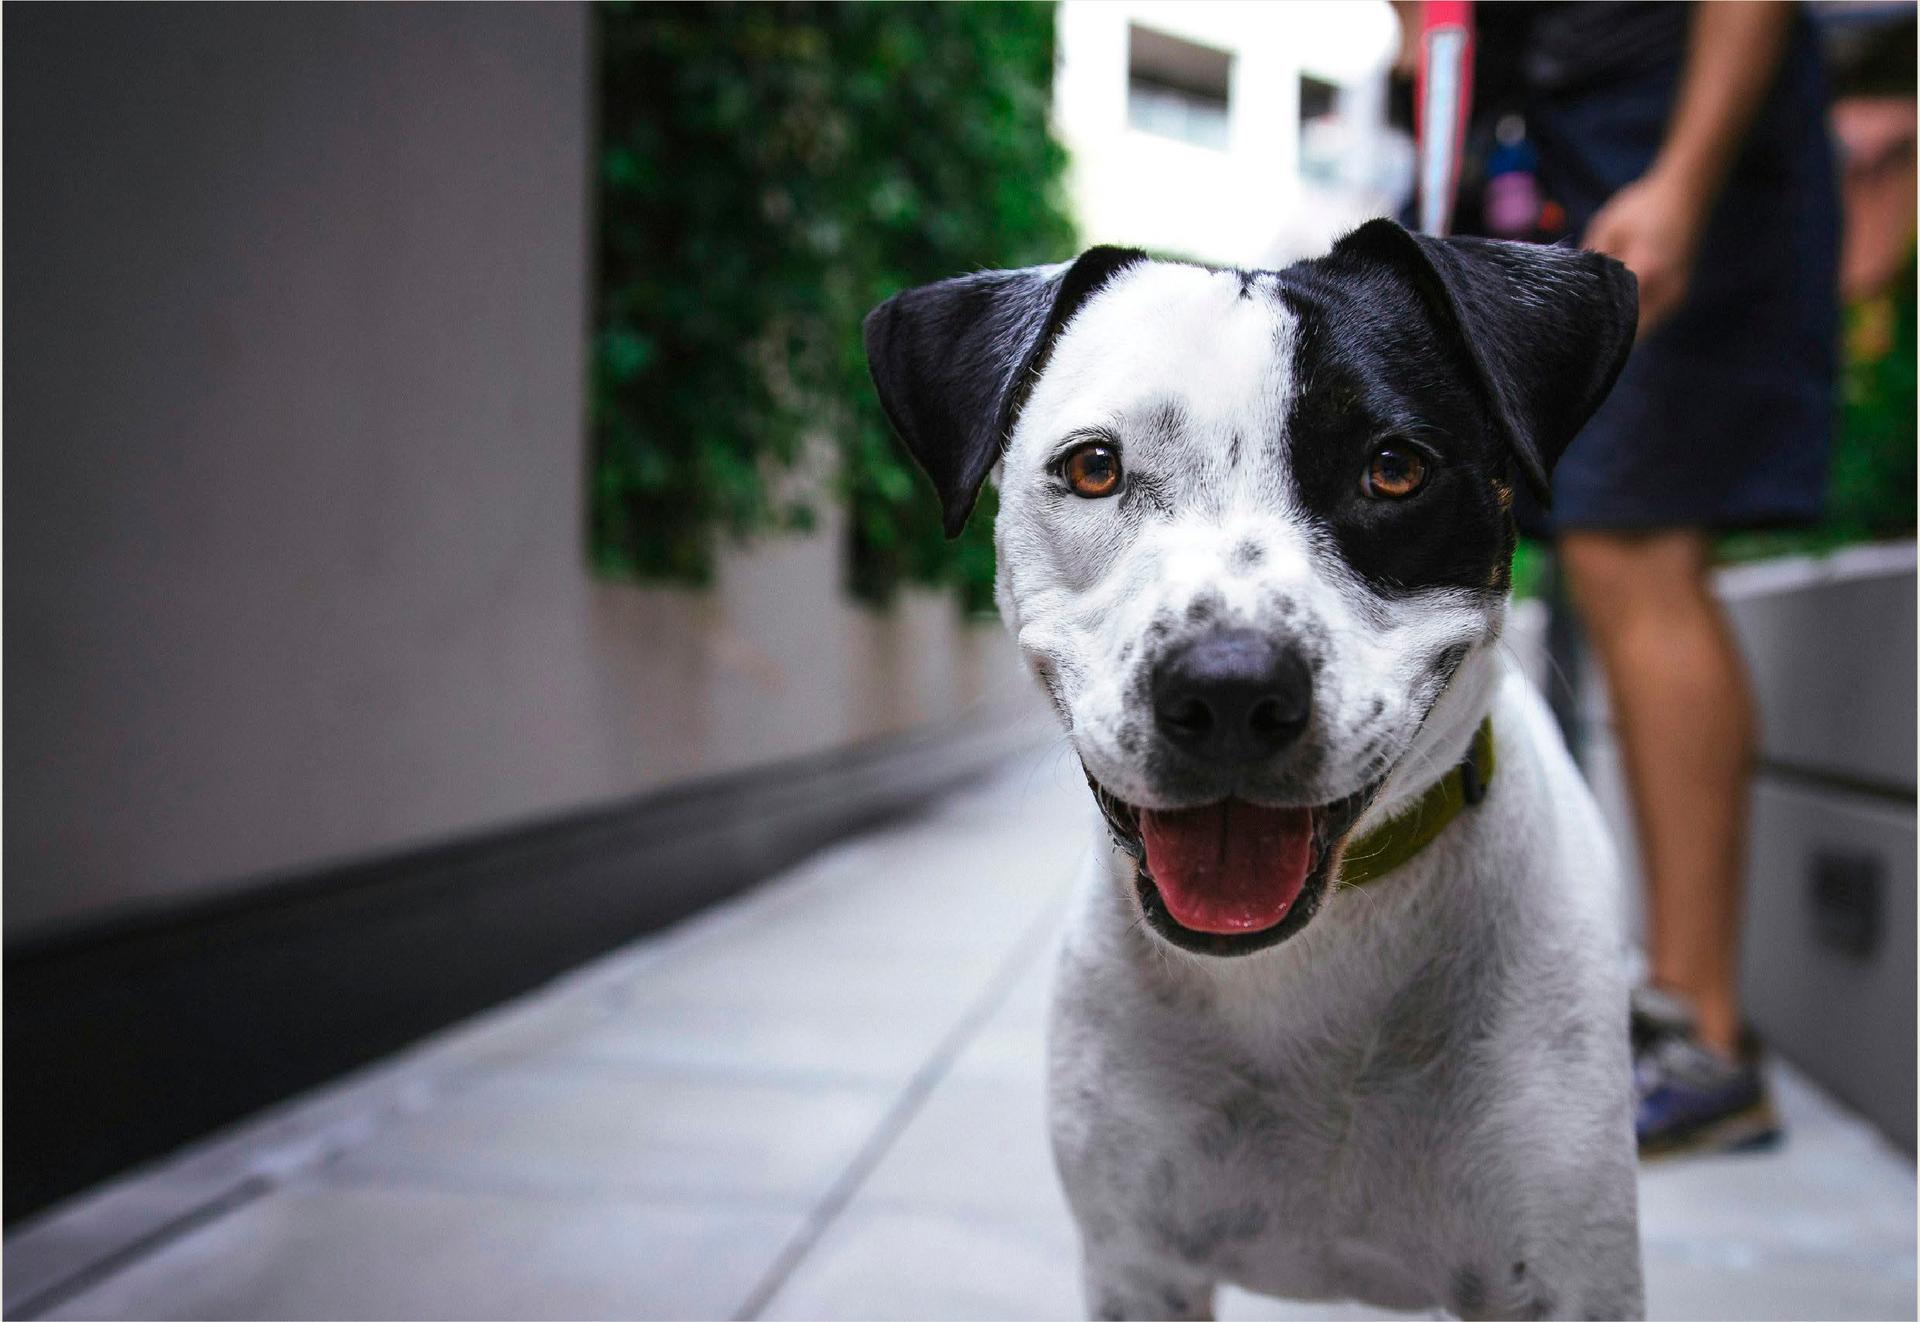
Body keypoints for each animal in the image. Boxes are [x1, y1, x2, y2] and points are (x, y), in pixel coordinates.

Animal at [867, 221, 1635, 1312]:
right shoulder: (1139, 1265)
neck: (1307, 965)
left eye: (1395, 469)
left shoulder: (1566, 1276)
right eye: (1093, 467)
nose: (1229, 689)